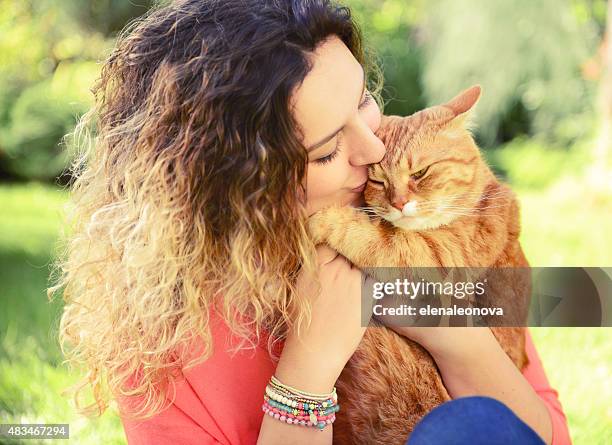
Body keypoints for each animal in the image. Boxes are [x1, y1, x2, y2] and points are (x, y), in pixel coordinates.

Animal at [308, 85, 532, 442]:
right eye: (378, 181)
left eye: (420, 173)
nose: (399, 203)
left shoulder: (432, 259)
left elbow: (375, 239)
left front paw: (325, 220)